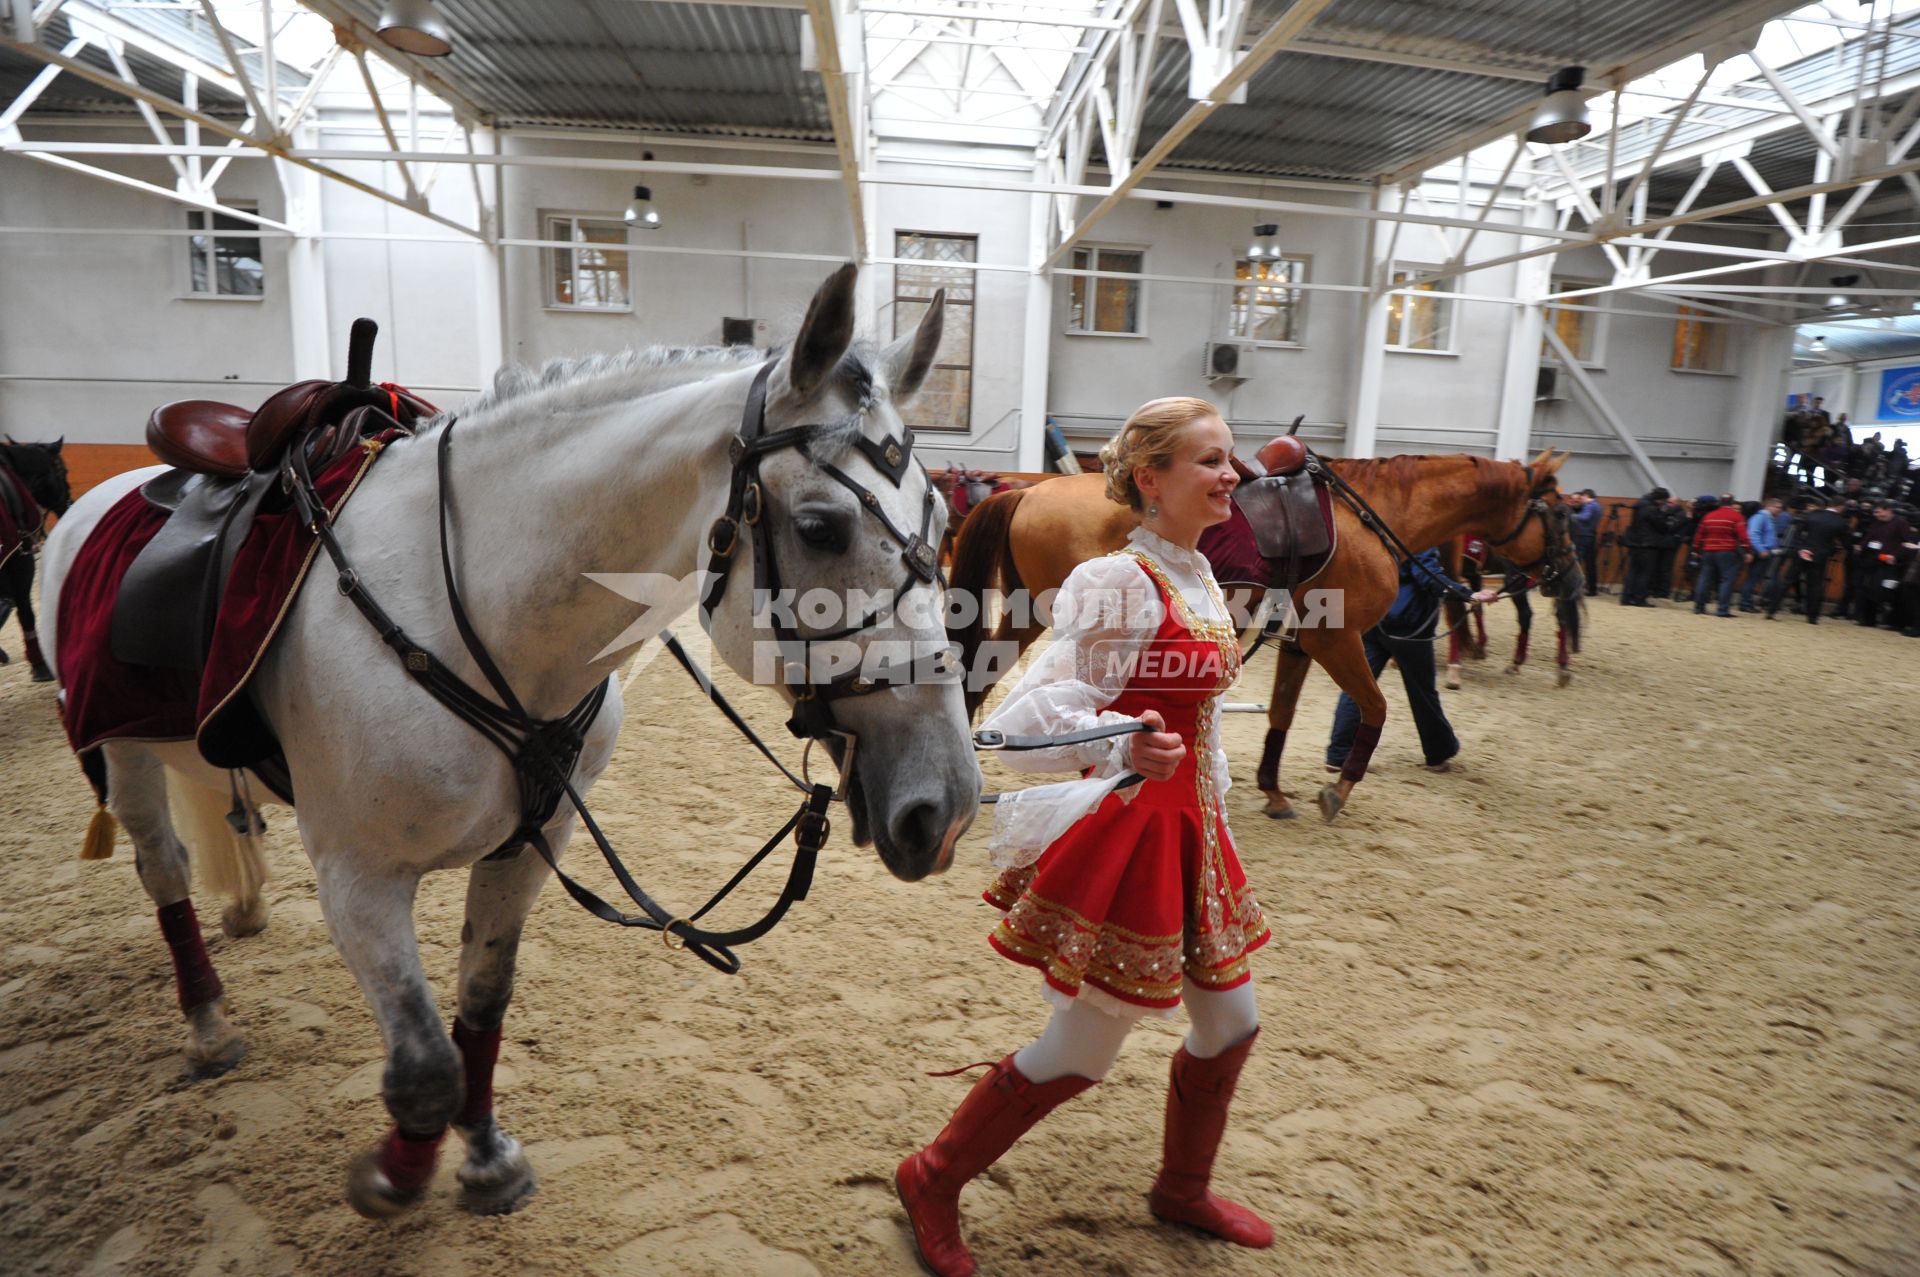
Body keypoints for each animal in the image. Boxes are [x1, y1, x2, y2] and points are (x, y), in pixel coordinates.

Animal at [39, 259, 983, 1213]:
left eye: (944, 524)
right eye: (821, 527)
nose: (946, 805)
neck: (465, 609)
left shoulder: (531, 841)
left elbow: (482, 1006)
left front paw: (485, 1155)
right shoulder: (356, 874)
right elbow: (425, 1064)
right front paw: (398, 1171)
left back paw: (245, 908)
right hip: (121, 749)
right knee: (164, 870)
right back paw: (206, 1024)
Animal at [948, 447, 1574, 821]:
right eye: (1564, 512)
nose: (1567, 572)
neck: (1373, 517)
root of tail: (1028, 490)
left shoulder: (1302, 644)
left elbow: (1281, 715)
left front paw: (1273, 790)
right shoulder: (1338, 642)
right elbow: (1375, 708)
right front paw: (1337, 791)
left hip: (1028, 612)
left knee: (983, 675)